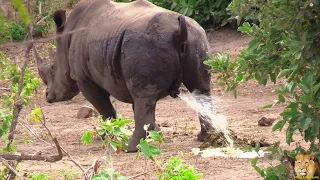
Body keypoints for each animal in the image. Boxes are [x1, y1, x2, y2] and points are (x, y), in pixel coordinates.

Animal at [33, 0, 214, 152]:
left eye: (53, 68)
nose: (48, 96)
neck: (66, 39)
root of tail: (179, 31)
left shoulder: (84, 79)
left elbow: (104, 108)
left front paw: (105, 136)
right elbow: (136, 107)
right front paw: (155, 133)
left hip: (144, 44)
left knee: (144, 96)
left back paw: (131, 148)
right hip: (196, 37)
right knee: (200, 89)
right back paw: (206, 138)